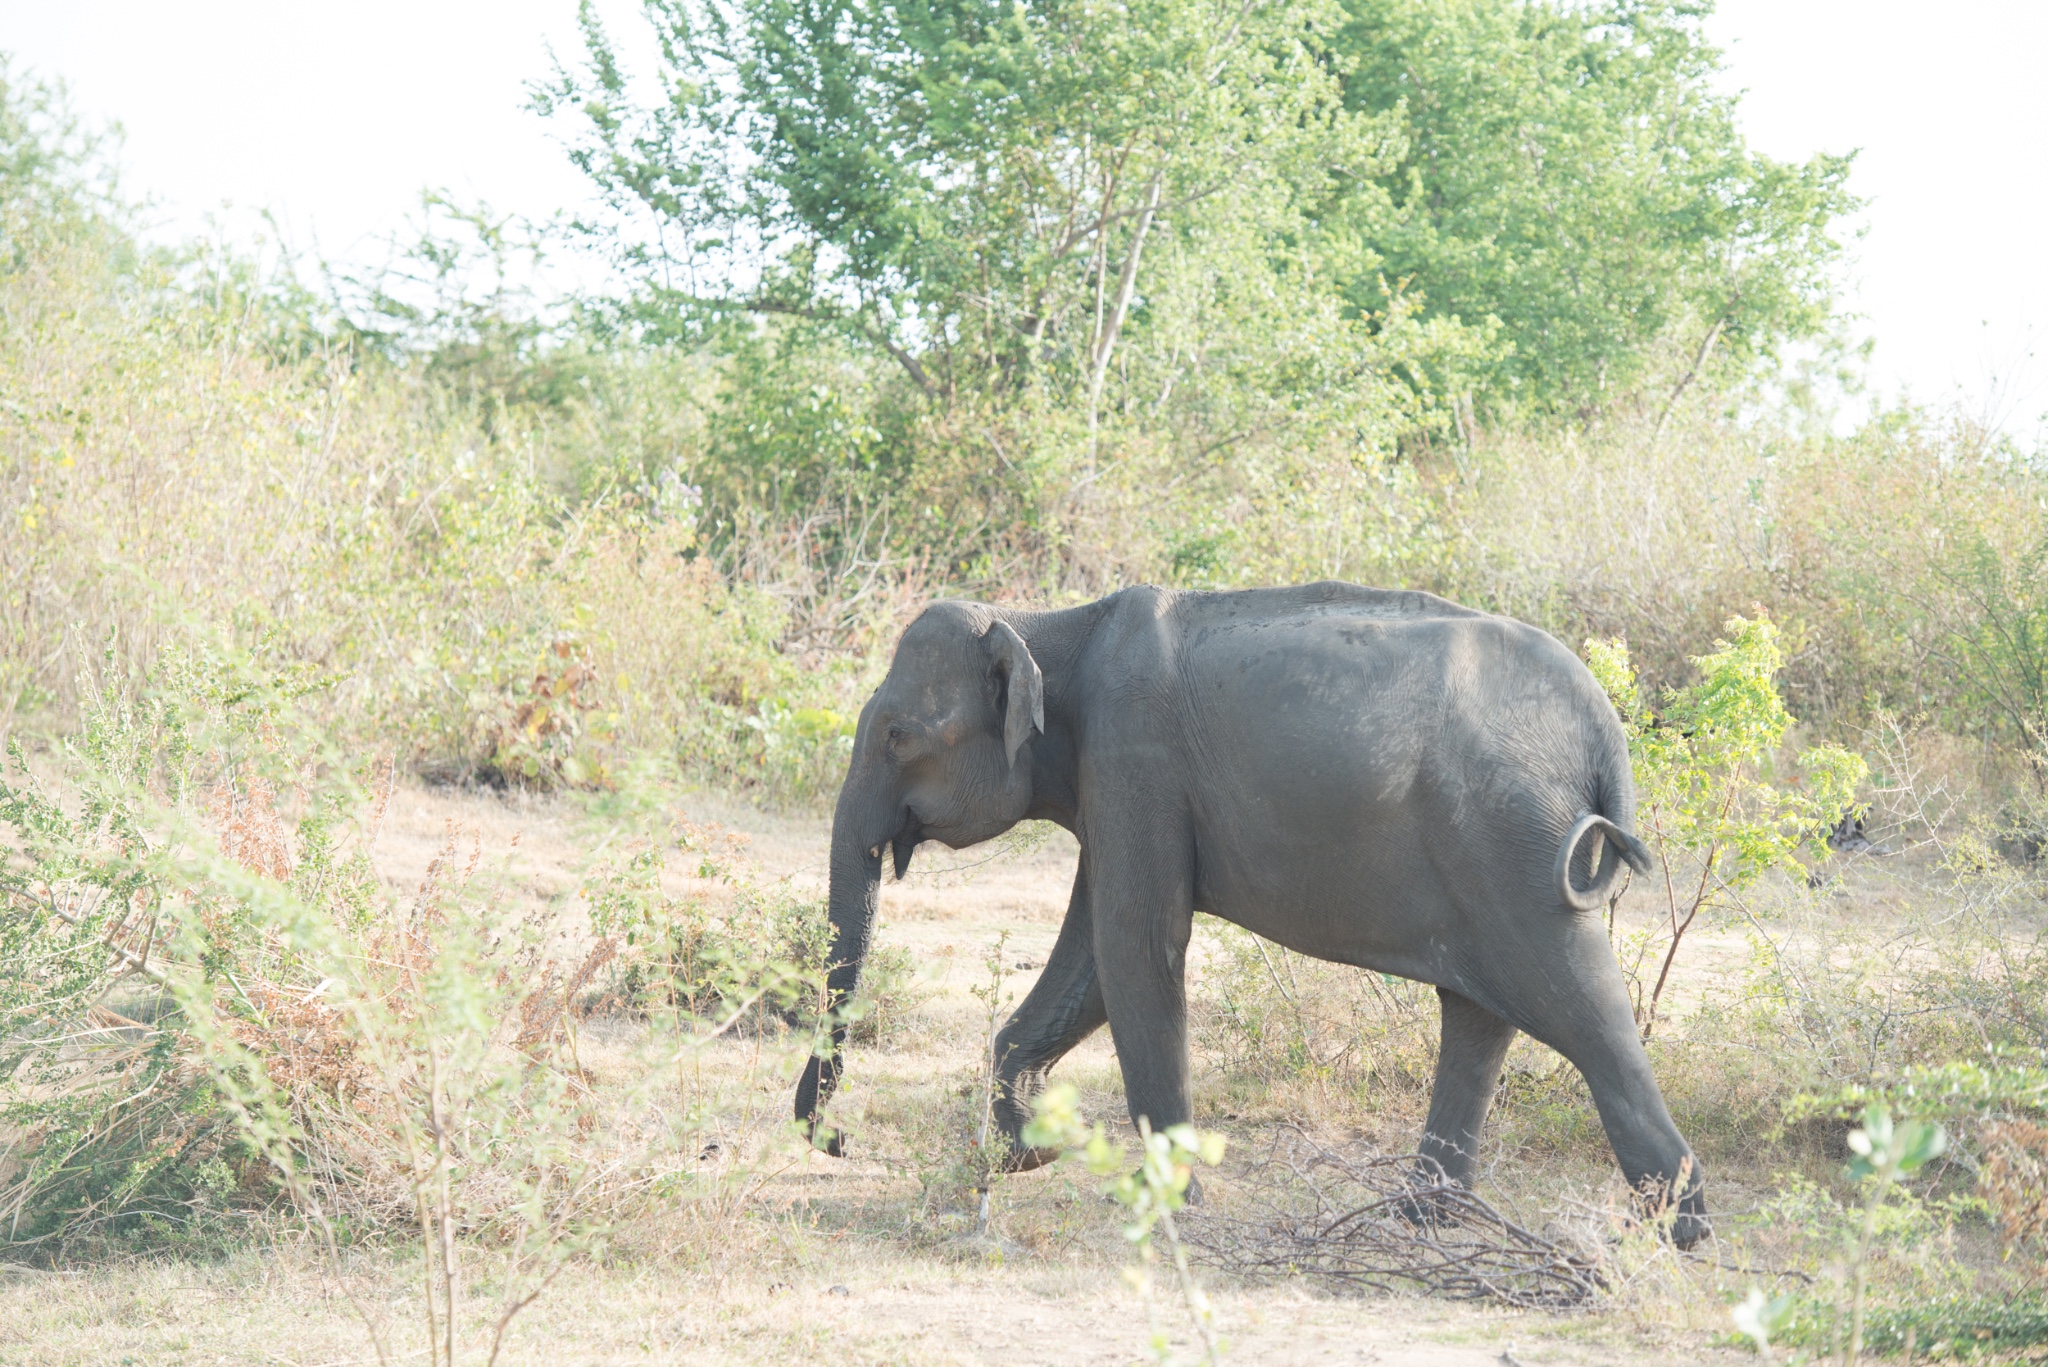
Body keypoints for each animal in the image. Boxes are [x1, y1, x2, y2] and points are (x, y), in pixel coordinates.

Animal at [790, 582, 1703, 1246]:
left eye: (898, 735)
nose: (837, 1142)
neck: (1048, 622)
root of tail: (1602, 726)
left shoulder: (1134, 760)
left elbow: (1135, 950)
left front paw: (1167, 1201)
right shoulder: (1113, 783)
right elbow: (1091, 962)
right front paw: (1028, 1151)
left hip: (1514, 847)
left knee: (1576, 1004)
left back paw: (1673, 1232)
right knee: (1479, 1013)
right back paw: (1425, 1220)